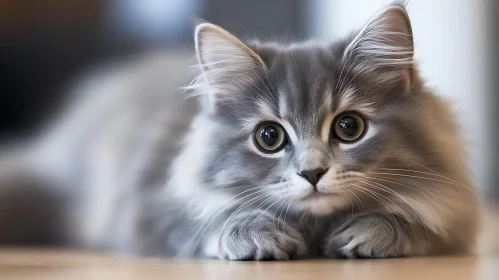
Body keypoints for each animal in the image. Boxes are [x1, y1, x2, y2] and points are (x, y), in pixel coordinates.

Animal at [0, 3, 478, 260]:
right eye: (269, 137)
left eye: (349, 127)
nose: (312, 173)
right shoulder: (153, 203)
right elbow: (214, 218)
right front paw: (256, 234)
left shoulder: (453, 211)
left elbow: (422, 221)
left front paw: (375, 230)